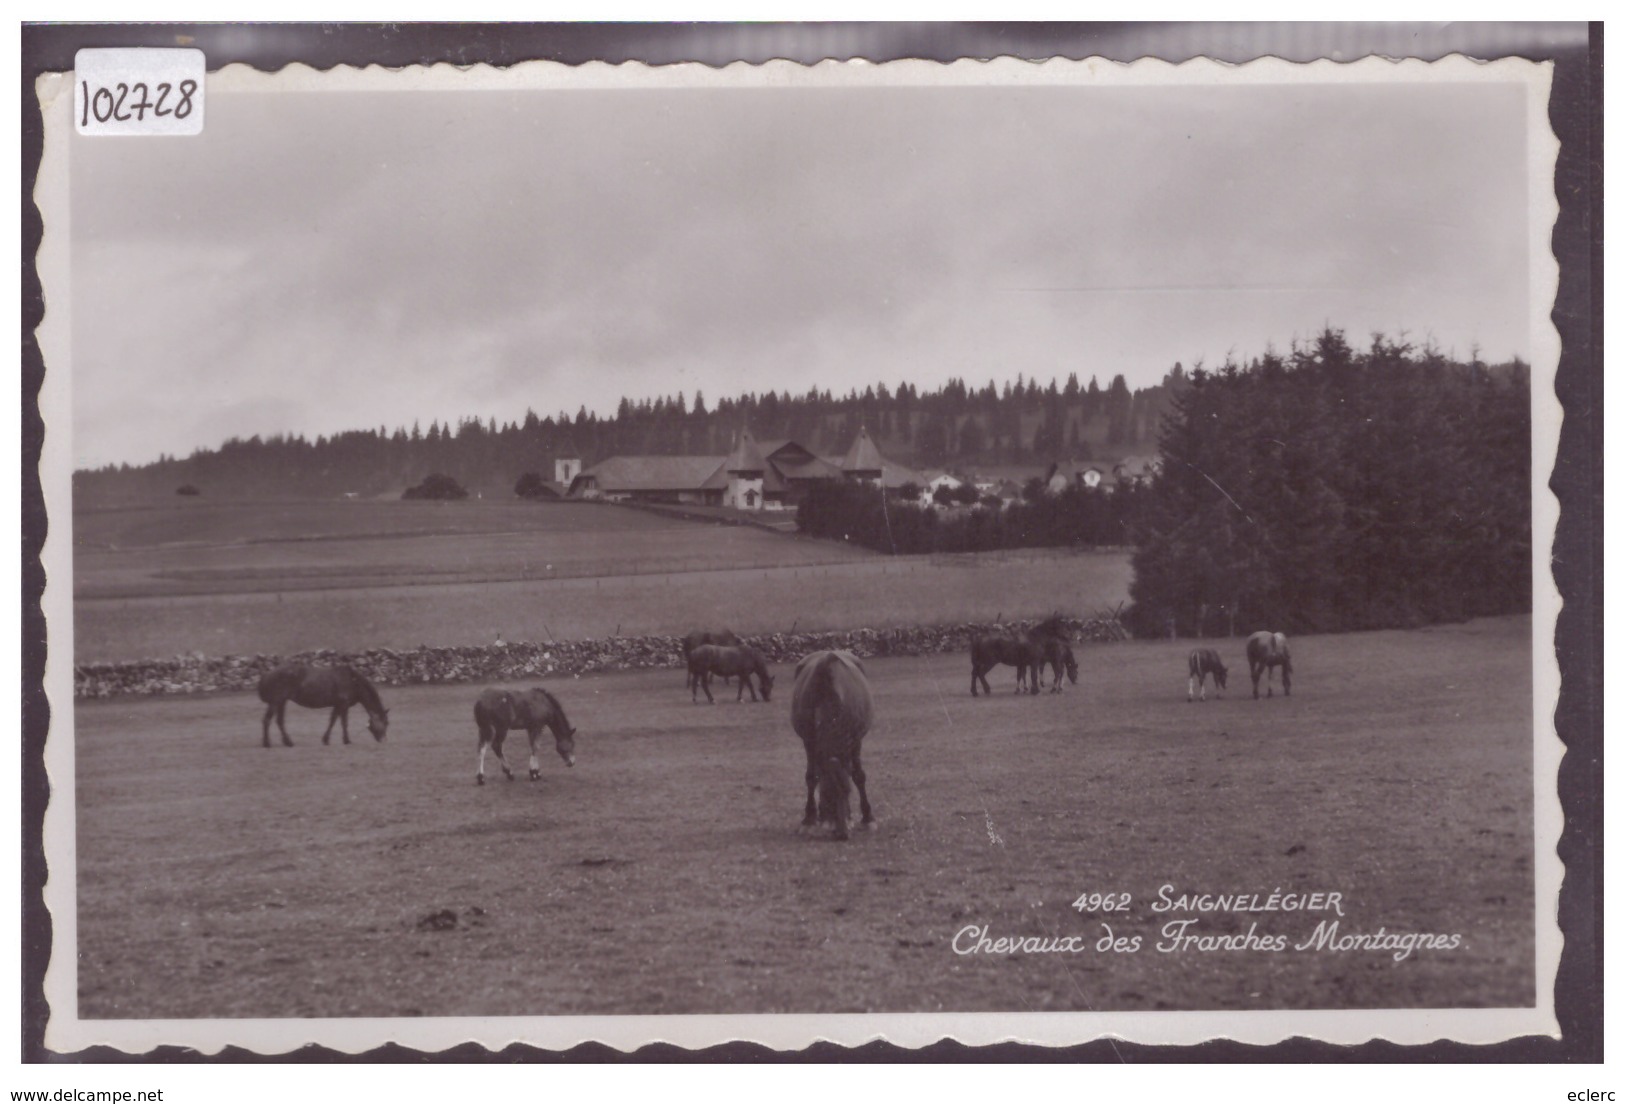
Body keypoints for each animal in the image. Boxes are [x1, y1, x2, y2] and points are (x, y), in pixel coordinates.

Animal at [258, 666, 388, 751]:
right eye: (386, 723)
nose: (383, 740)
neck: (352, 681)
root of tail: (266, 674)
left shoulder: (337, 705)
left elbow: (332, 721)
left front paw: (326, 739)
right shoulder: (343, 705)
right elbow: (344, 723)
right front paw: (346, 740)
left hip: (282, 702)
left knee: (279, 721)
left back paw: (288, 742)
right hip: (276, 702)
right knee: (267, 720)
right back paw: (267, 743)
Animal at [789, 653, 877, 838]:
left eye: (847, 791)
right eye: (828, 796)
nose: (842, 835)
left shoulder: (855, 740)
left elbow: (858, 776)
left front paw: (867, 818)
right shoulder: (809, 741)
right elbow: (812, 777)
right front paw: (809, 819)